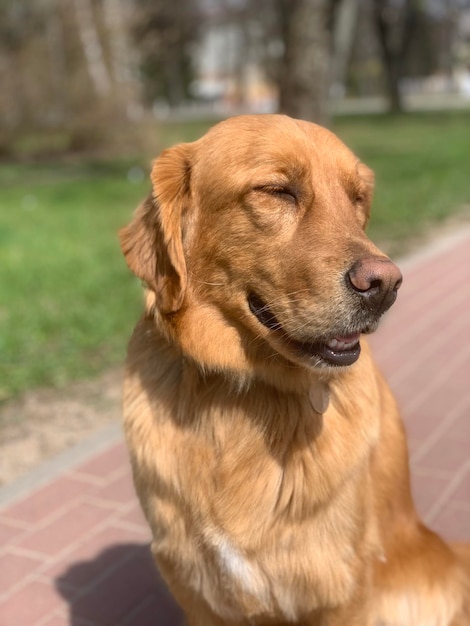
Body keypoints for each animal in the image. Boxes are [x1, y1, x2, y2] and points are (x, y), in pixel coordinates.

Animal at [121, 114, 470, 620]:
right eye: (276, 190)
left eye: (357, 198)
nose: (385, 285)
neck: (246, 395)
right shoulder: (195, 589)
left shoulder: (339, 589)